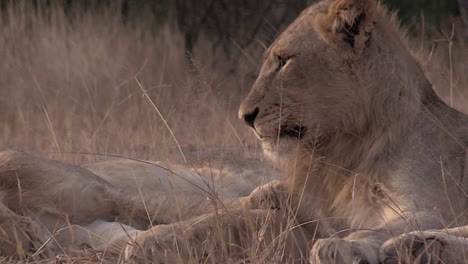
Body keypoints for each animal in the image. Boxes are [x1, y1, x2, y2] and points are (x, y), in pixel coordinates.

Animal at [0, 0, 468, 262]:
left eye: (284, 60)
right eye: (272, 59)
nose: (245, 115)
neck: (343, 150)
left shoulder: (431, 205)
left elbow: (381, 225)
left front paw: (351, 246)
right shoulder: (310, 212)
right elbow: (228, 217)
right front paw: (154, 241)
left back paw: (413, 248)